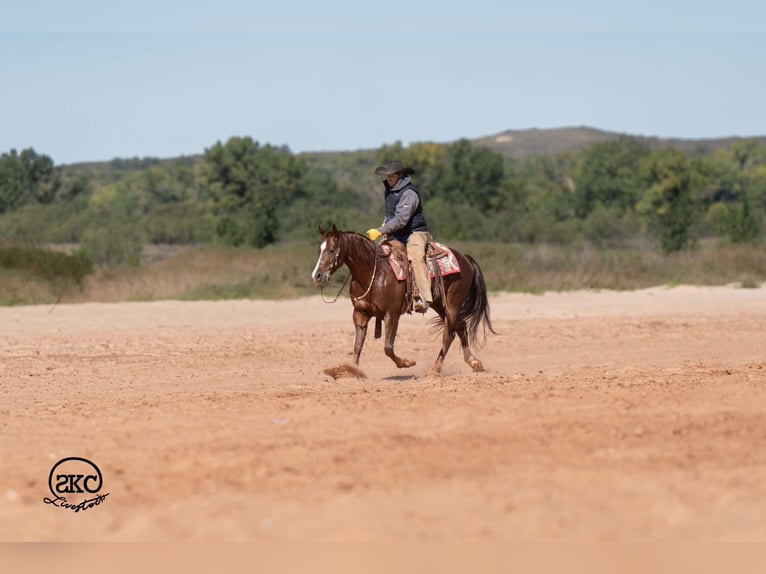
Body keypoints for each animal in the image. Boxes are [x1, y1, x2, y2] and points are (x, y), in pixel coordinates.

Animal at [311, 224, 496, 376]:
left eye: (332, 250)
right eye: (319, 250)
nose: (317, 275)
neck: (374, 273)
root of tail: (465, 258)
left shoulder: (392, 315)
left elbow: (387, 347)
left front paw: (407, 362)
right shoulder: (360, 313)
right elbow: (358, 345)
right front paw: (350, 370)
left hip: (452, 305)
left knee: (448, 334)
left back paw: (435, 370)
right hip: (440, 305)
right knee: (460, 328)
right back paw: (474, 362)